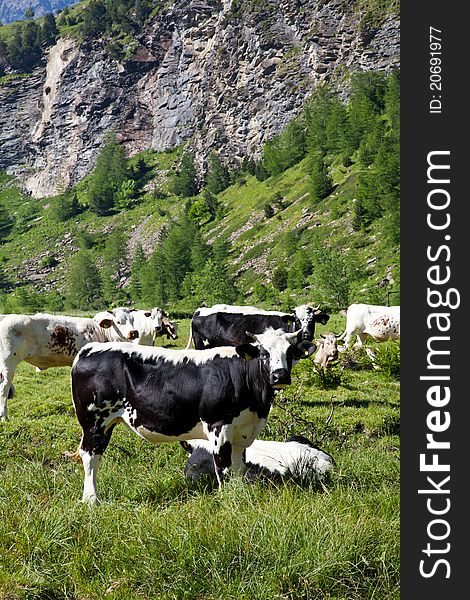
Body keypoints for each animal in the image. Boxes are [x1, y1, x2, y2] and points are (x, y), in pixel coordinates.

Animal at [0, 310, 140, 422]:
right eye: (118, 321)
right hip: (8, 362)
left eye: (133, 320)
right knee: (4, 388)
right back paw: (4, 417)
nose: (134, 332)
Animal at [70, 326, 312, 504]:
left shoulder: (242, 432)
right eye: (263, 353)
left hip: (106, 422)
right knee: (90, 456)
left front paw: (239, 496)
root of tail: (90, 349)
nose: (280, 375)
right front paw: (227, 501)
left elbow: (238, 468)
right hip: (94, 421)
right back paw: (91, 500)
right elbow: (223, 468)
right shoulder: (218, 426)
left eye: (290, 352)